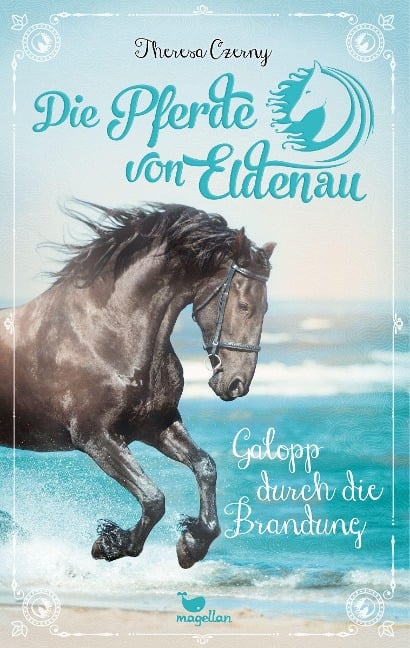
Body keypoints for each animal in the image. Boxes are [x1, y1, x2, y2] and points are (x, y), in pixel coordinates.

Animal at [0, 202, 275, 568]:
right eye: (244, 305)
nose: (236, 384)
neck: (108, 333)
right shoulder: (96, 438)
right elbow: (153, 498)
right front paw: (111, 543)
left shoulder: (156, 425)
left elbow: (205, 467)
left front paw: (192, 543)